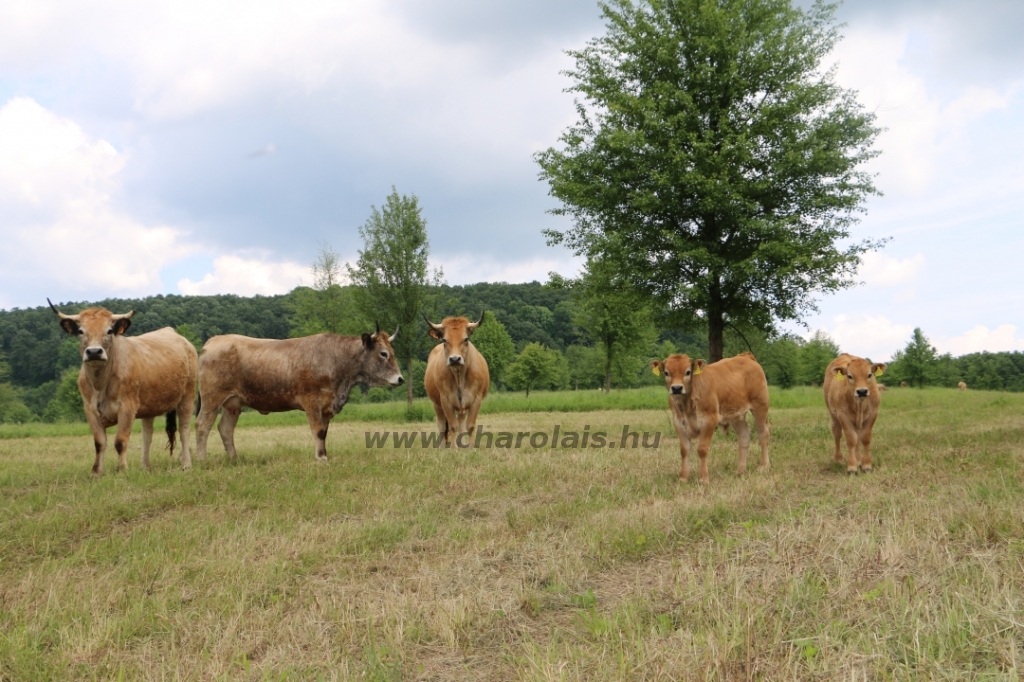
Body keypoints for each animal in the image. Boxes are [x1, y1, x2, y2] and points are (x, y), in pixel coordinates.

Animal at [47, 296, 197, 473]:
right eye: (81, 331)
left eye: (109, 331)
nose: (94, 352)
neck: (100, 385)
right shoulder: (90, 409)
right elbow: (99, 442)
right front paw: (97, 471)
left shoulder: (127, 406)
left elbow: (120, 441)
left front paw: (122, 469)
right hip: (149, 404)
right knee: (147, 433)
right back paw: (144, 466)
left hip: (187, 395)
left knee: (184, 429)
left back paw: (186, 464)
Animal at [193, 325, 401, 462]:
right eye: (383, 353)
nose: (400, 379)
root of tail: (213, 341)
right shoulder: (312, 401)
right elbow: (318, 431)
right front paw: (321, 459)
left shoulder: (326, 407)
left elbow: (324, 432)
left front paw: (324, 454)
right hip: (212, 398)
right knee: (203, 425)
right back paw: (202, 460)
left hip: (233, 403)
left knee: (225, 429)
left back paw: (234, 459)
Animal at [421, 315, 489, 446]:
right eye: (444, 340)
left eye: (466, 339)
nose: (455, 359)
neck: (459, 377)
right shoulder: (445, 400)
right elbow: (453, 427)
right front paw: (454, 448)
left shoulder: (476, 399)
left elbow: (470, 426)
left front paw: (471, 448)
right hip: (437, 405)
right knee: (442, 426)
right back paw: (442, 447)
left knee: (461, 423)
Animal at [647, 352, 770, 481]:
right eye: (666, 372)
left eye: (688, 372)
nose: (676, 388)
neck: (687, 405)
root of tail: (745, 356)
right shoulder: (678, 422)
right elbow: (684, 450)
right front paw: (683, 477)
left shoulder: (709, 420)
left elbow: (702, 449)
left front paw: (703, 478)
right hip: (736, 414)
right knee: (744, 435)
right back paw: (741, 470)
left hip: (760, 405)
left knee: (763, 433)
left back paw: (763, 466)